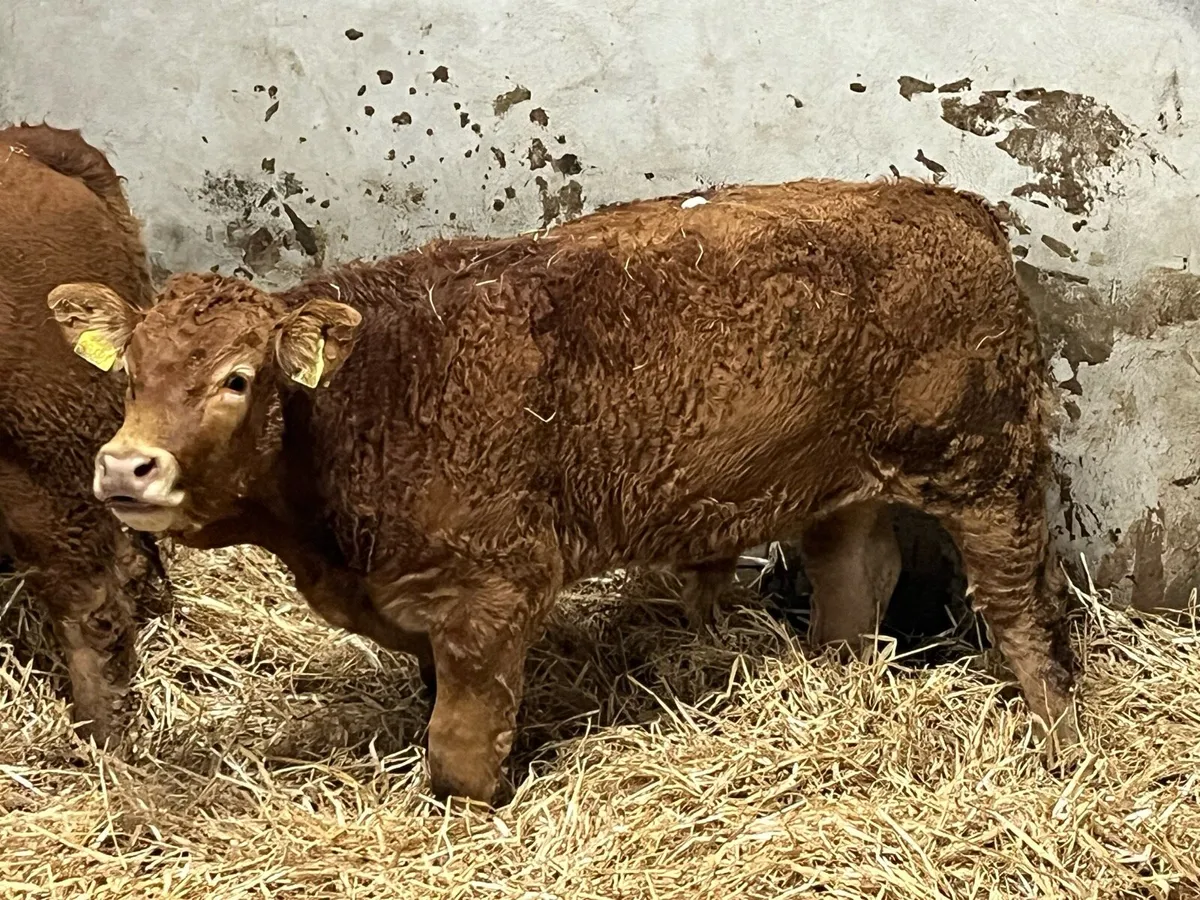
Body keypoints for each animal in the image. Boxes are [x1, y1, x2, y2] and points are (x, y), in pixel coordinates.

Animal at [50, 178, 1080, 802]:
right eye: (128, 371)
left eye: (237, 378)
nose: (125, 465)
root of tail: (953, 204)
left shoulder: (491, 591)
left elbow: (460, 752)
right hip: (836, 482)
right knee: (855, 575)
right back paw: (835, 683)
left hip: (990, 464)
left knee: (1020, 605)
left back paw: (1058, 735)